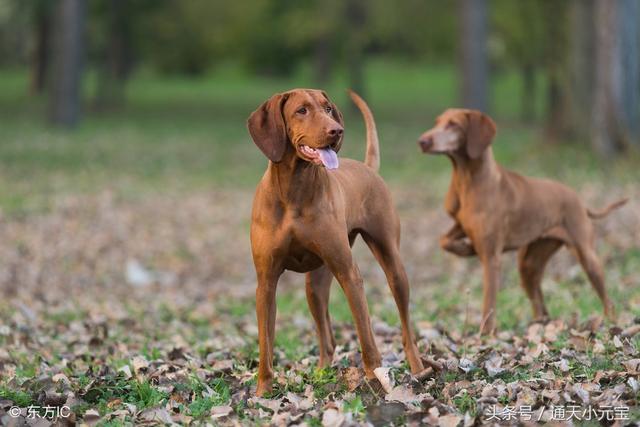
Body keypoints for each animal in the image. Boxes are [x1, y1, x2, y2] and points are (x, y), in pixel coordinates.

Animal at [249, 90, 424, 398]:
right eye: (301, 110)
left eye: (328, 108)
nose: (337, 130)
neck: (294, 191)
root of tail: (367, 167)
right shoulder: (266, 282)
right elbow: (265, 345)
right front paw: (262, 393)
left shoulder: (349, 273)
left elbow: (366, 336)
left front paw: (375, 380)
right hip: (315, 285)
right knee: (327, 337)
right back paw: (321, 374)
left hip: (393, 266)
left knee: (406, 328)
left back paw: (417, 369)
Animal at [418, 108, 628, 336]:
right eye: (437, 122)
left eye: (453, 124)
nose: (422, 141)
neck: (467, 180)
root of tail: (579, 200)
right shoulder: (461, 226)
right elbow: (444, 240)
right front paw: (466, 249)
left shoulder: (492, 258)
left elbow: (489, 301)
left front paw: (486, 334)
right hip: (529, 264)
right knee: (540, 304)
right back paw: (539, 324)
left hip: (587, 257)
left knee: (608, 300)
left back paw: (611, 324)